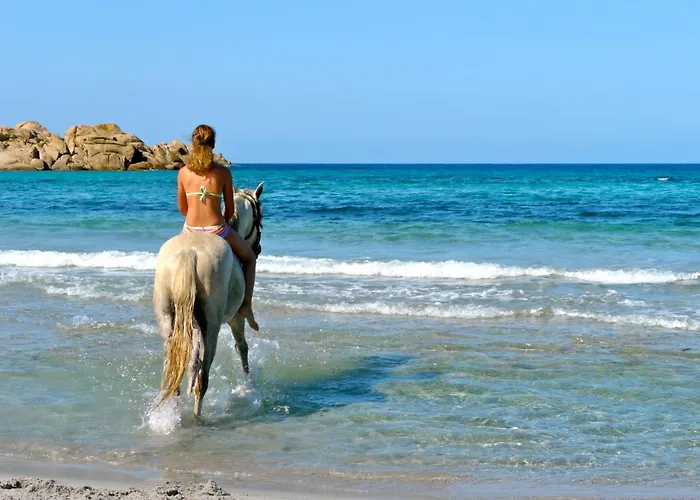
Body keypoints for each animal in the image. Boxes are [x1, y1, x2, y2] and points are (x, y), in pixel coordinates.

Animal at [152, 182, 264, 417]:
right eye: (260, 216)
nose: (257, 248)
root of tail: (189, 253)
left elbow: (191, 362)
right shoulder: (235, 319)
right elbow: (242, 347)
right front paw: (248, 382)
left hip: (168, 319)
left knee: (174, 372)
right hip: (212, 326)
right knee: (203, 378)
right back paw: (197, 415)